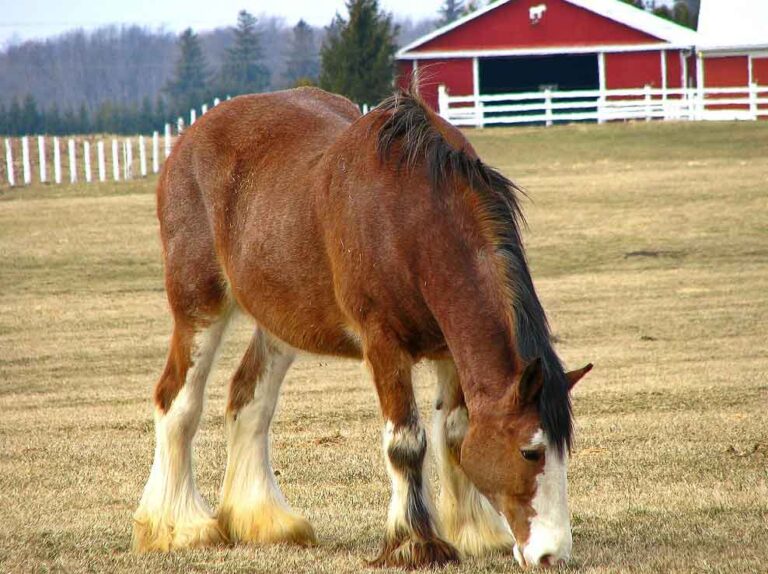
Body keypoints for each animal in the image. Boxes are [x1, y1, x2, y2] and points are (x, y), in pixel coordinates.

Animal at [132, 86, 592, 569]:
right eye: (531, 451)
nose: (553, 554)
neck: (411, 222)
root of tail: (188, 139)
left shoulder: (450, 350)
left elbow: (454, 434)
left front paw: (475, 535)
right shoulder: (383, 345)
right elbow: (406, 442)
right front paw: (414, 543)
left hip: (280, 320)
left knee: (249, 400)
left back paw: (265, 520)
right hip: (198, 307)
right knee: (178, 402)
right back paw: (179, 527)